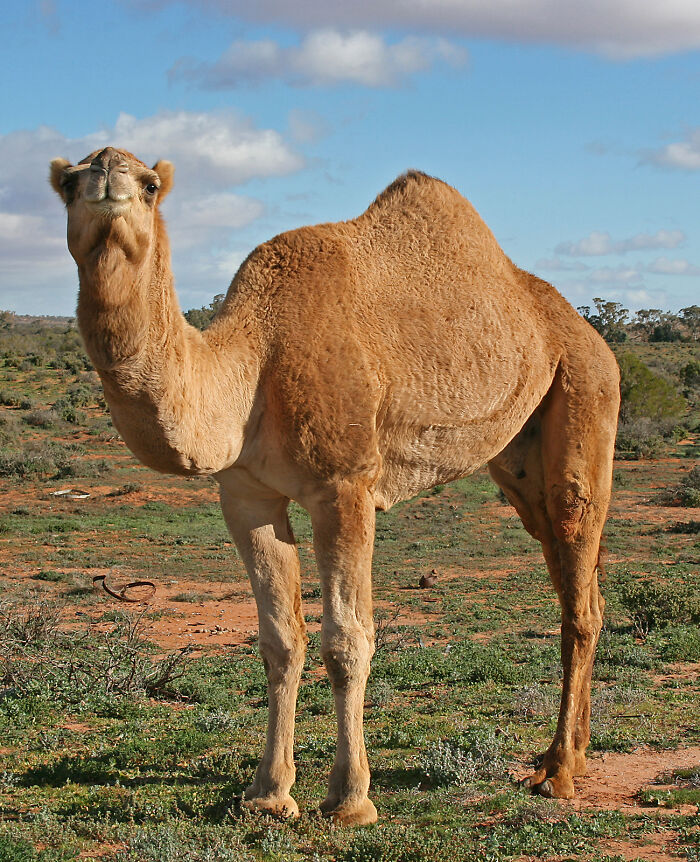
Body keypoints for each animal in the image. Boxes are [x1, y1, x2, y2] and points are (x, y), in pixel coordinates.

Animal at [50, 147, 620, 826]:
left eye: (150, 184)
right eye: (69, 183)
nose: (108, 172)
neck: (252, 364)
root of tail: (587, 332)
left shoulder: (344, 486)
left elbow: (347, 640)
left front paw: (350, 799)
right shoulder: (246, 495)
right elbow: (280, 639)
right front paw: (268, 794)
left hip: (586, 392)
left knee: (578, 578)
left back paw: (559, 772)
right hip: (520, 457)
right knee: (570, 577)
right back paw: (571, 754)